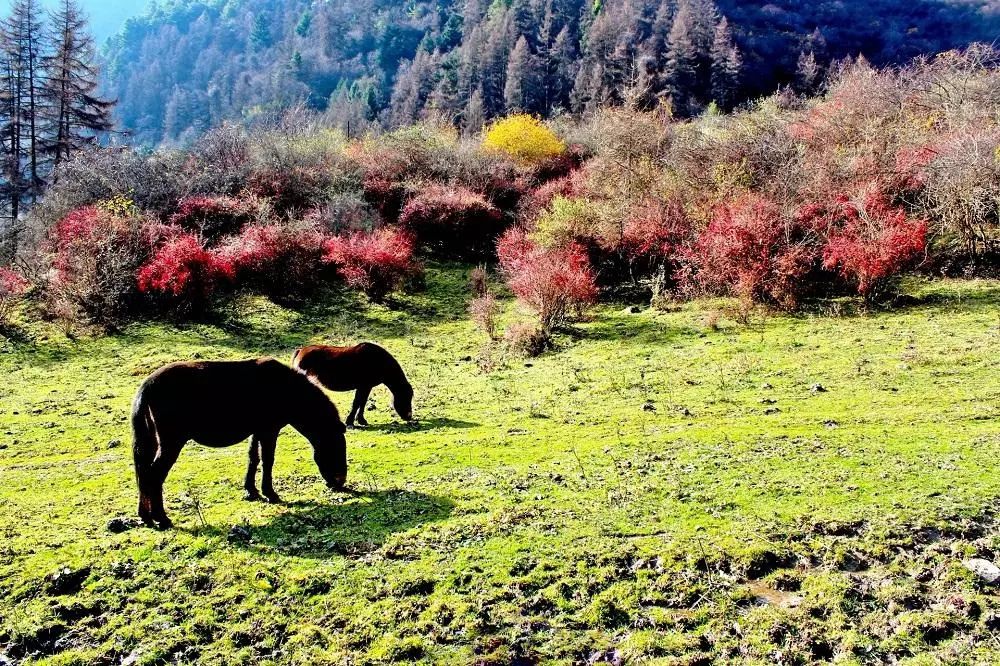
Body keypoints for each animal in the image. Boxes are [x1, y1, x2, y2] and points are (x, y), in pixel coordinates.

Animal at [131, 358, 348, 528]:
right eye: (337, 449)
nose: (340, 482)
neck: (285, 388)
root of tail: (146, 387)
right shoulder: (269, 431)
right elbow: (268, 460)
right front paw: (270, 493)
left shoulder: (257, 431)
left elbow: (253, 458)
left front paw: (251, 490)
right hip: (171, 443)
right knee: (154, 476)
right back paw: (161, 518)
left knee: (144, 474)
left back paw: (146, 517)